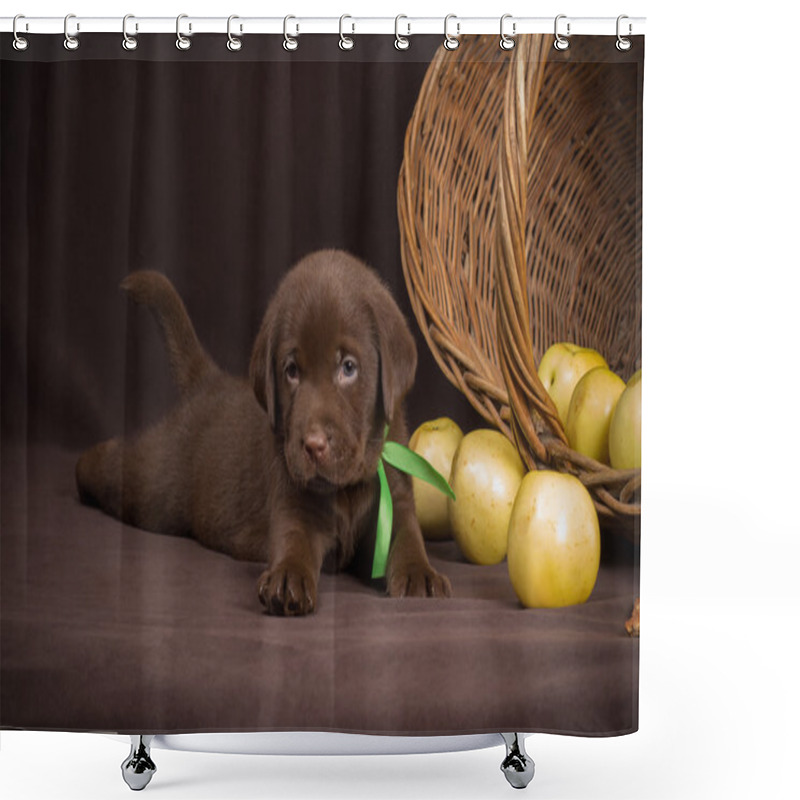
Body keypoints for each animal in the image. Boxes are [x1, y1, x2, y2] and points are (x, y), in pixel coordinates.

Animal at [76, 250, 450, 612]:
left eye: (348, 367)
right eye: (291, 370)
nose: (313, 445)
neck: (344, 488)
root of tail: (208, 381)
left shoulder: (397, 497)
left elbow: (408, 538)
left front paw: (420, 573)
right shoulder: (293, 502)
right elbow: (294, 541)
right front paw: (287, 578)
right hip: (154, 491)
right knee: (114, 467)